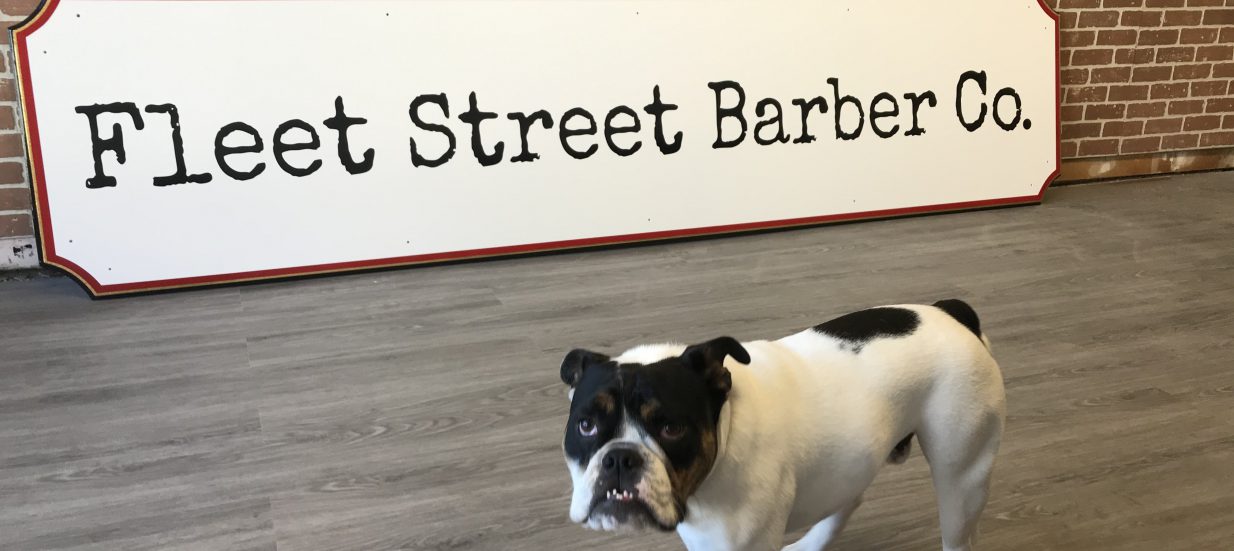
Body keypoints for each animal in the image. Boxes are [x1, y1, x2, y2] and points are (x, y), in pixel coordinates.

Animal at [560, 302, 1002, 551]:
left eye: (671, 428)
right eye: (585, 425)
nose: (620, 458)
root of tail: (952, 313)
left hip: (963, 476)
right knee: (847, 498)